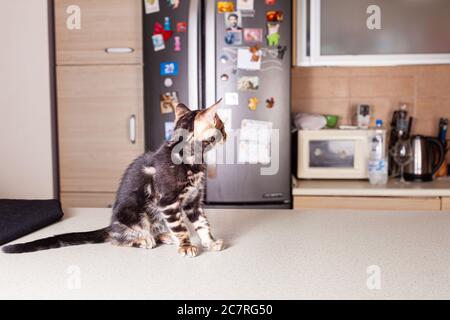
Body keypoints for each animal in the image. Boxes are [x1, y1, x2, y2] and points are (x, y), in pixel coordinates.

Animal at [2, 101, 229, 258]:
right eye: (221, 126)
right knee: (117, 240)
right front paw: (186, 246)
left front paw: (210, 242)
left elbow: (202, 223)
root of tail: (111, 225)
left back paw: (164, 236)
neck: (188, 159)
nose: (226, 134)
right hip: (138, 215)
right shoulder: (167, 202)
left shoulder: (193, 200)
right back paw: (144, 240)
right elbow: (180, 227)